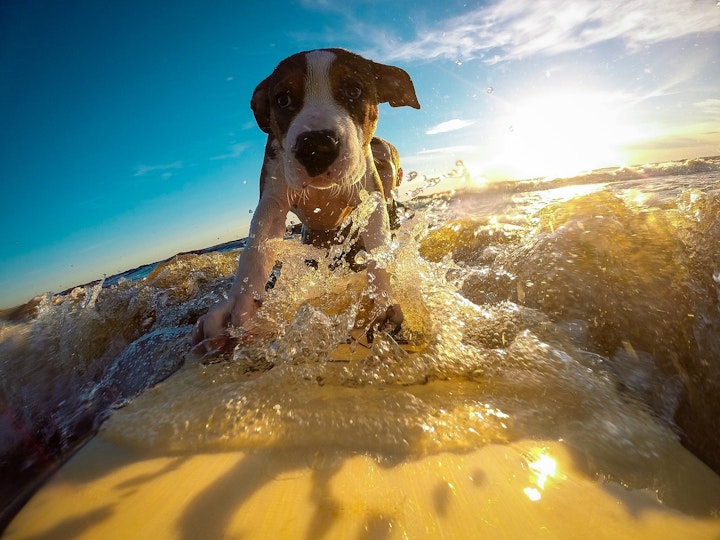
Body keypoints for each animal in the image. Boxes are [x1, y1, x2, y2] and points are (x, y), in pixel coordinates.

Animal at [191, 48, 422, 352]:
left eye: (354, 90)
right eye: (283, 99)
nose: (316, 146)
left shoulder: (369, 196)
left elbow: (377, 248)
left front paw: (381, 301)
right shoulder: (272, 198)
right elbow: (256, 249)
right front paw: (240, 309)